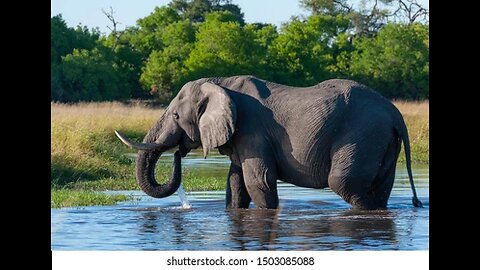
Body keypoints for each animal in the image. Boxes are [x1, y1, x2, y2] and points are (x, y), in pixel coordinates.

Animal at [117, 75, 424, 210]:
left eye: (176, 116)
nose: (179, 153)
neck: (220, 83)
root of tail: (395, 114)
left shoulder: (252, 129)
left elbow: (259, 181)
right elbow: (235, 184)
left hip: (363, 134)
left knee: (343, 183)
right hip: (382, 139)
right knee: (380, 188)